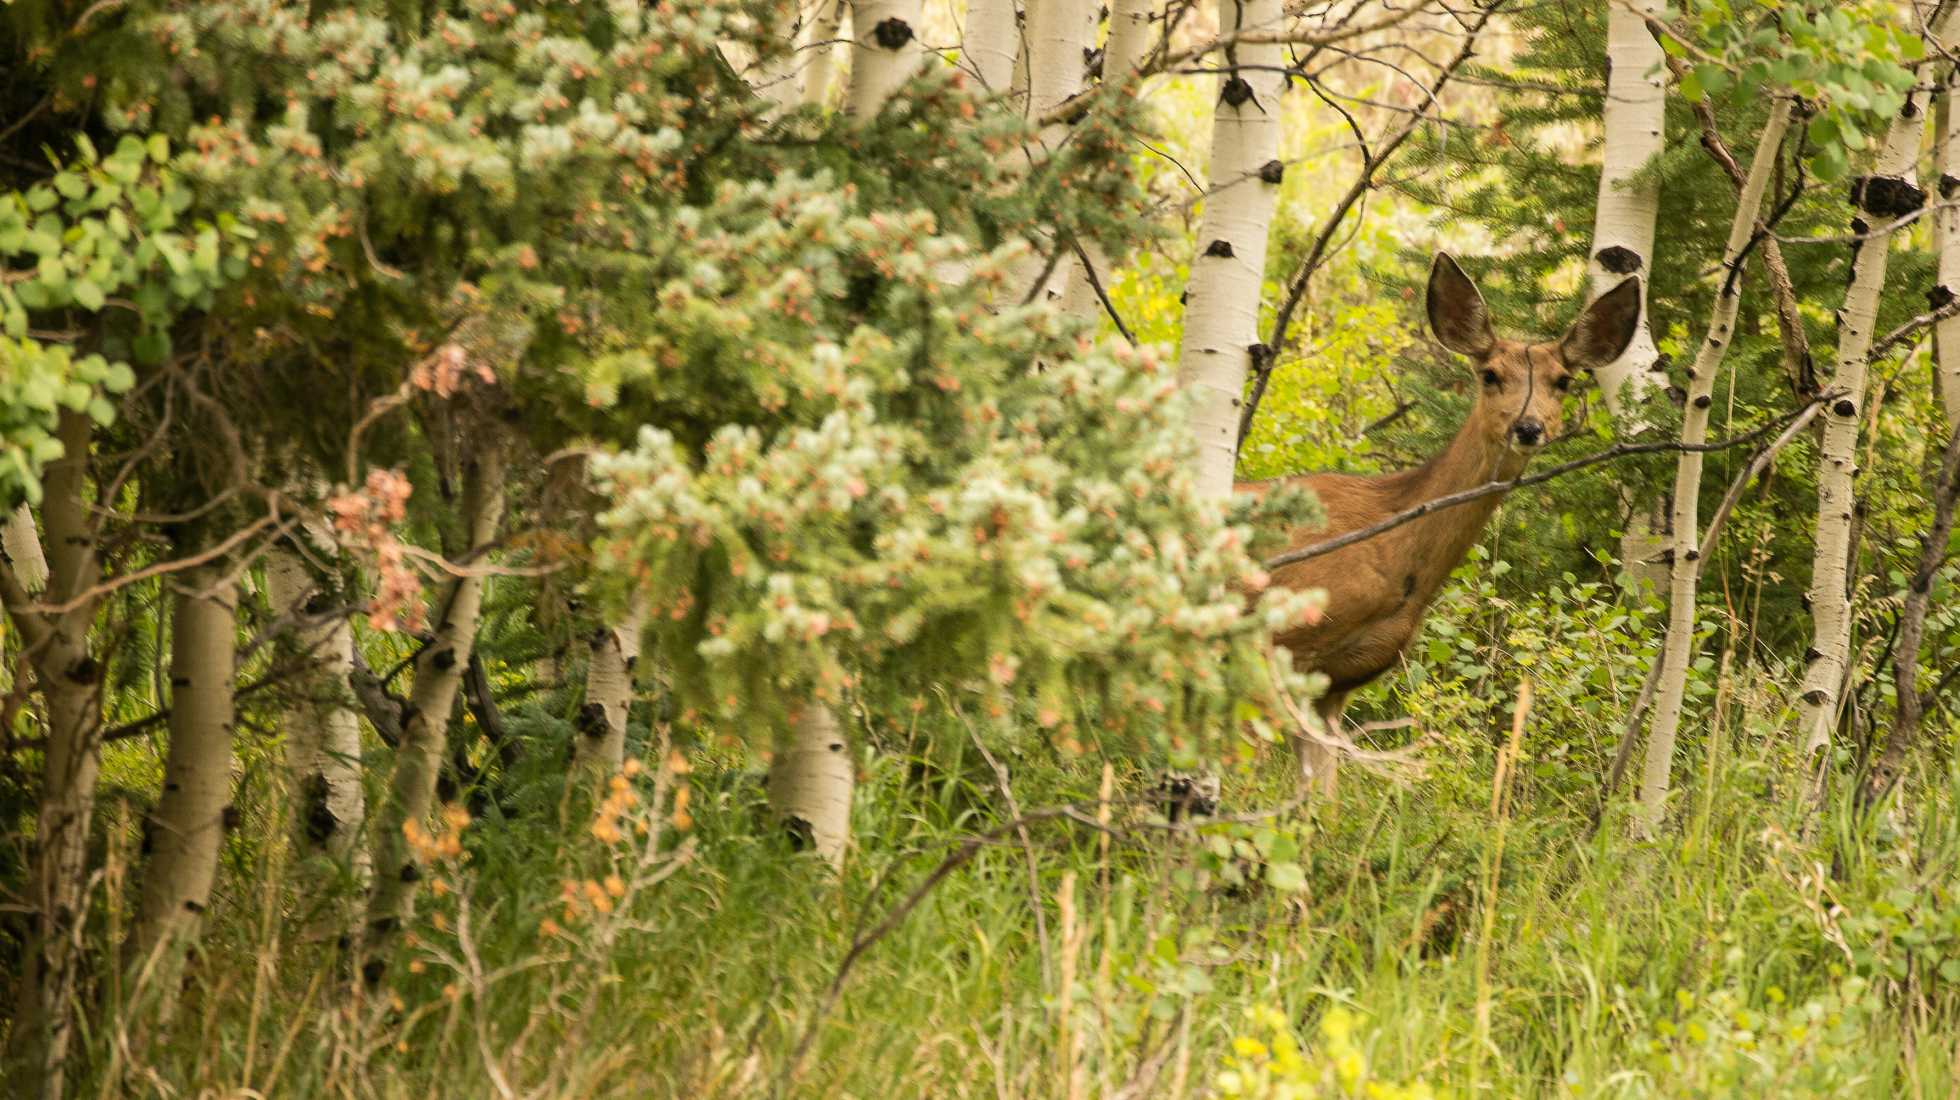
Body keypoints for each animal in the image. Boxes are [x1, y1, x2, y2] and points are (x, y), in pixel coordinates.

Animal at [1254, 252, 1638, 788]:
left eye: (1563, 380)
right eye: (1490, 374)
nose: (1528, 427)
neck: (1393, 547)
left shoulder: (1336, 683)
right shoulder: (1273, 644)